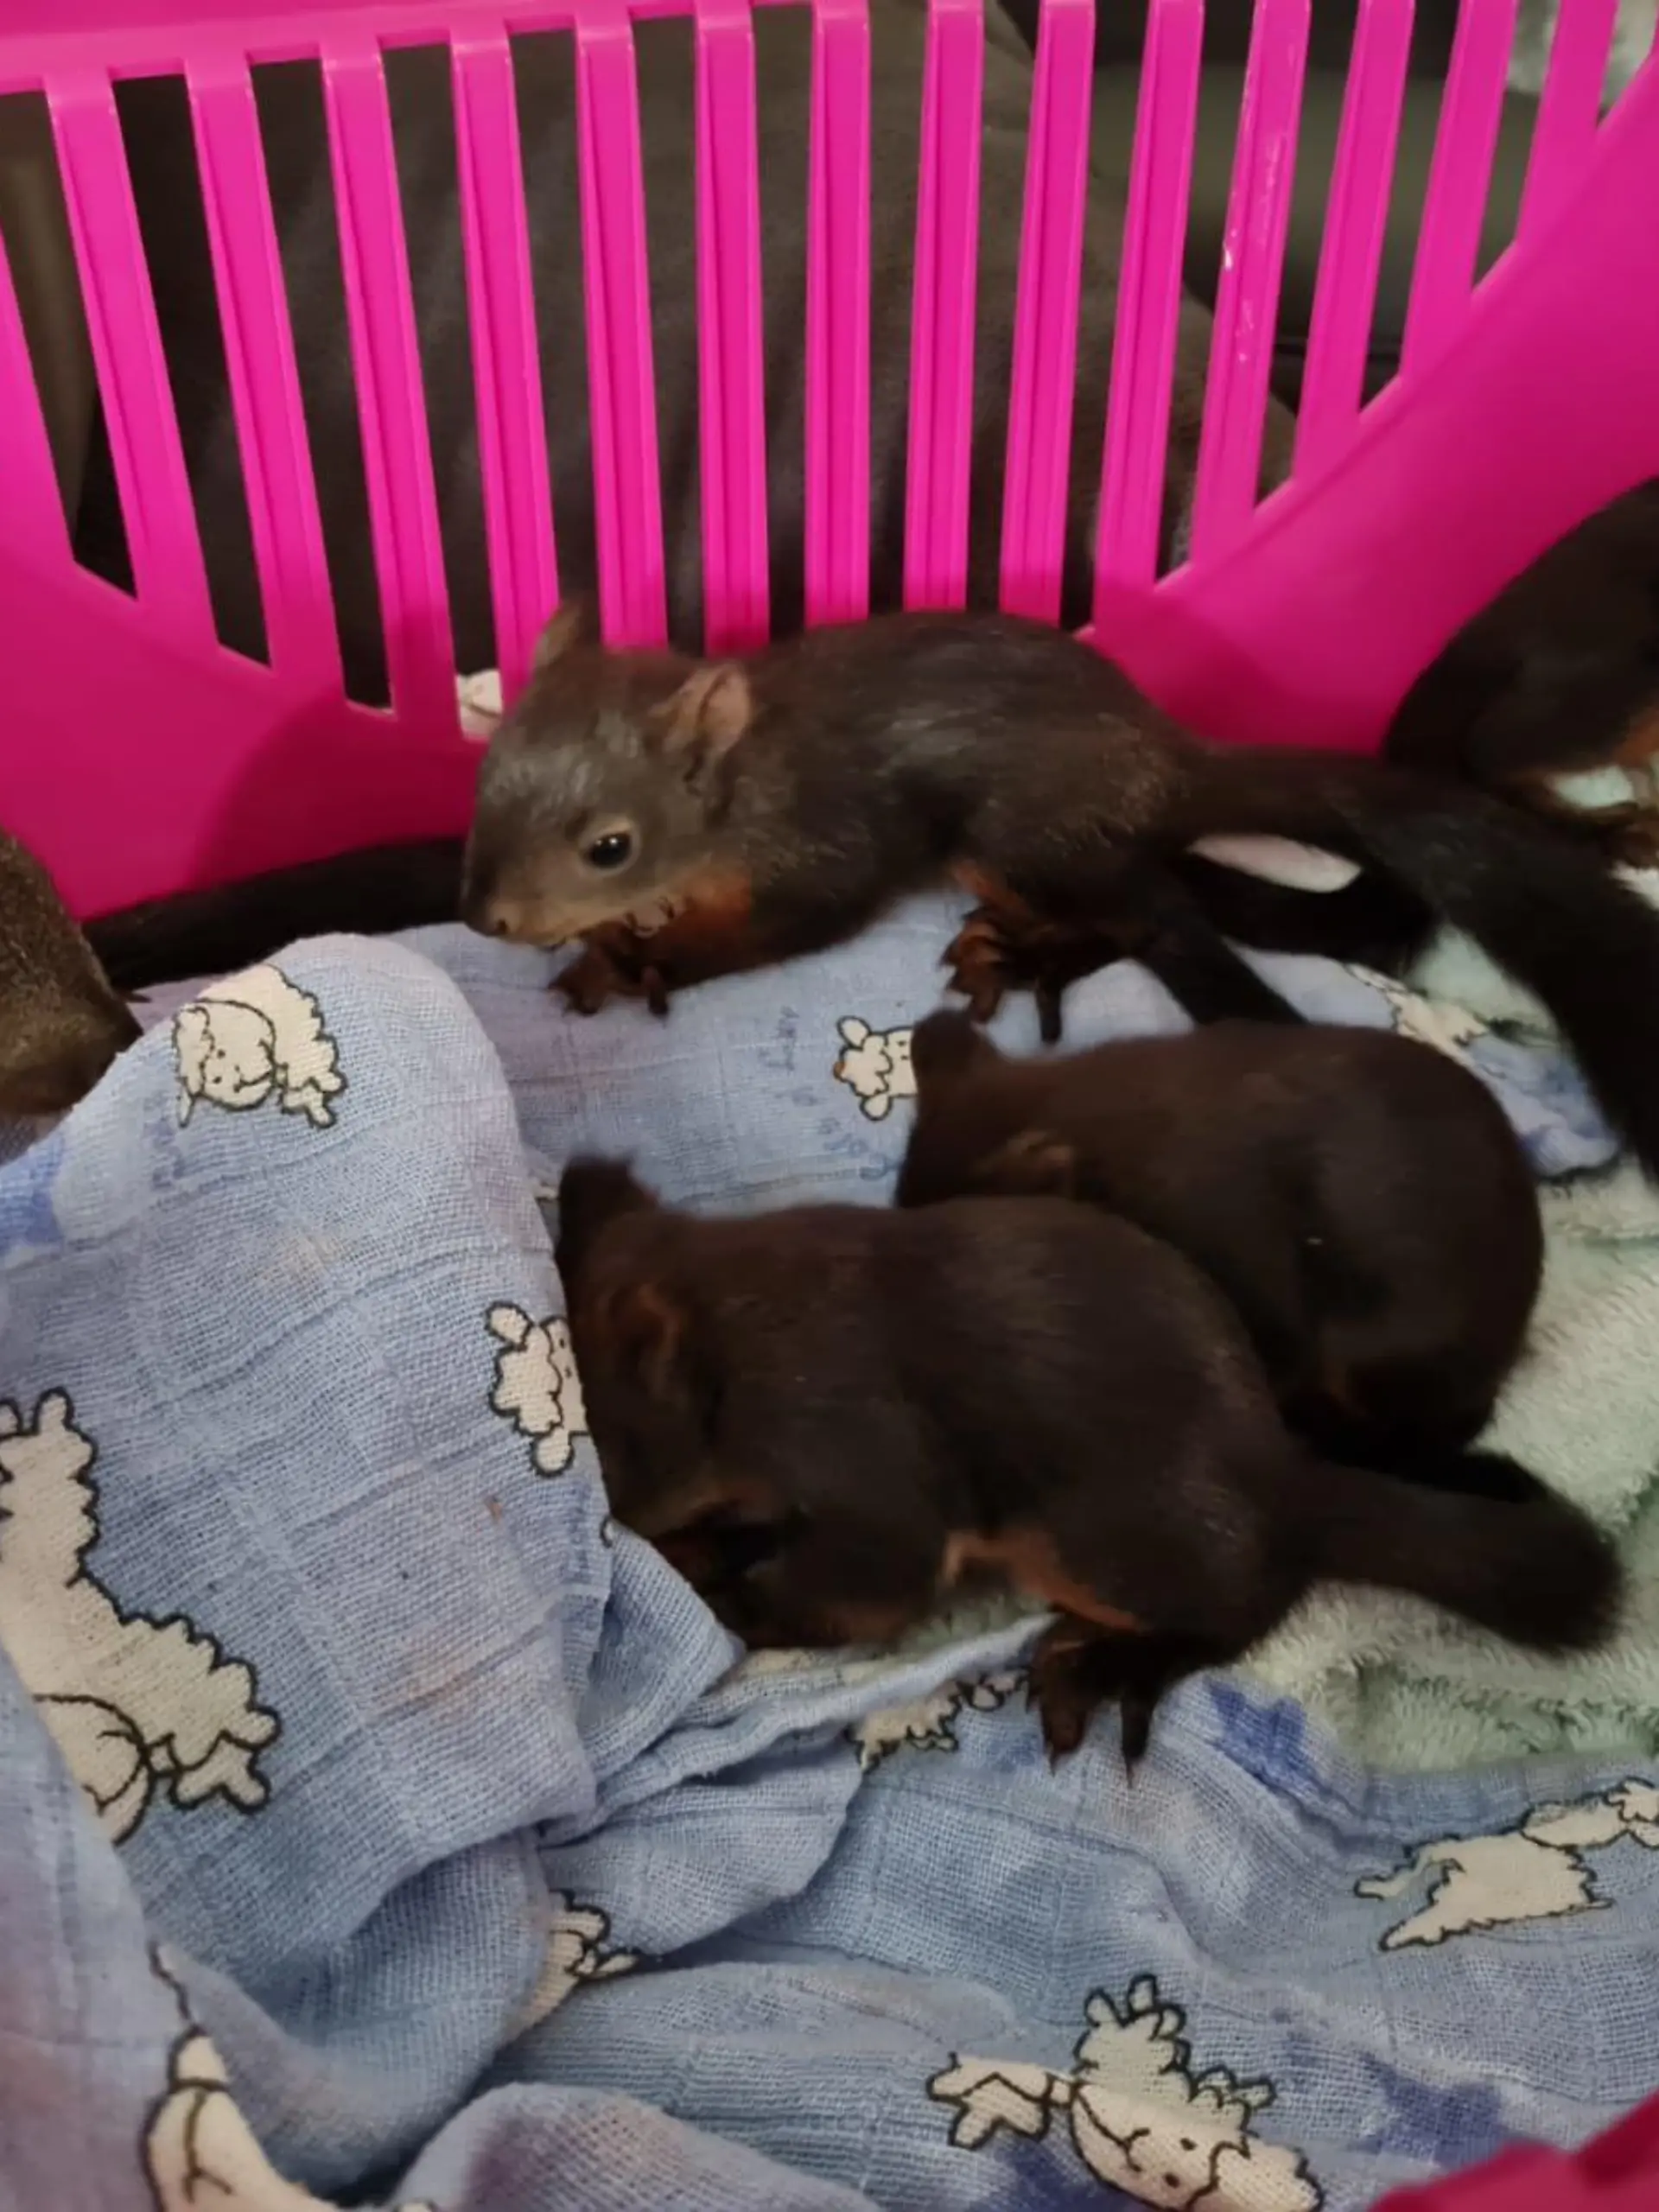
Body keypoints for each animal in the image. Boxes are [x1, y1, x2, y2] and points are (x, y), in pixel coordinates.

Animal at [461, 603, 1659, 1176]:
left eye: (610, 844)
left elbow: (782, 926)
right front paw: (620, 940)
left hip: (1018, 835)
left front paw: (650, 953)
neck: (744, 785)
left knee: (1150, 913)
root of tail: (1170, 760)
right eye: (485, 777)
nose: (487, 917)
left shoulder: (825, 851)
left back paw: (1036, 948)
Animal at [554, 1156, 1620, 1767]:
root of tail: (1286, 1479)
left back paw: (1110, 1664)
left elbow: (857, 1583)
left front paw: (718, 1601)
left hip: (1098, 1538)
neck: (734, 1325)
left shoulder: (851, 1445)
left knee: (1243, 1603)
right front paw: (705, 1555)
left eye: (608, 1447)